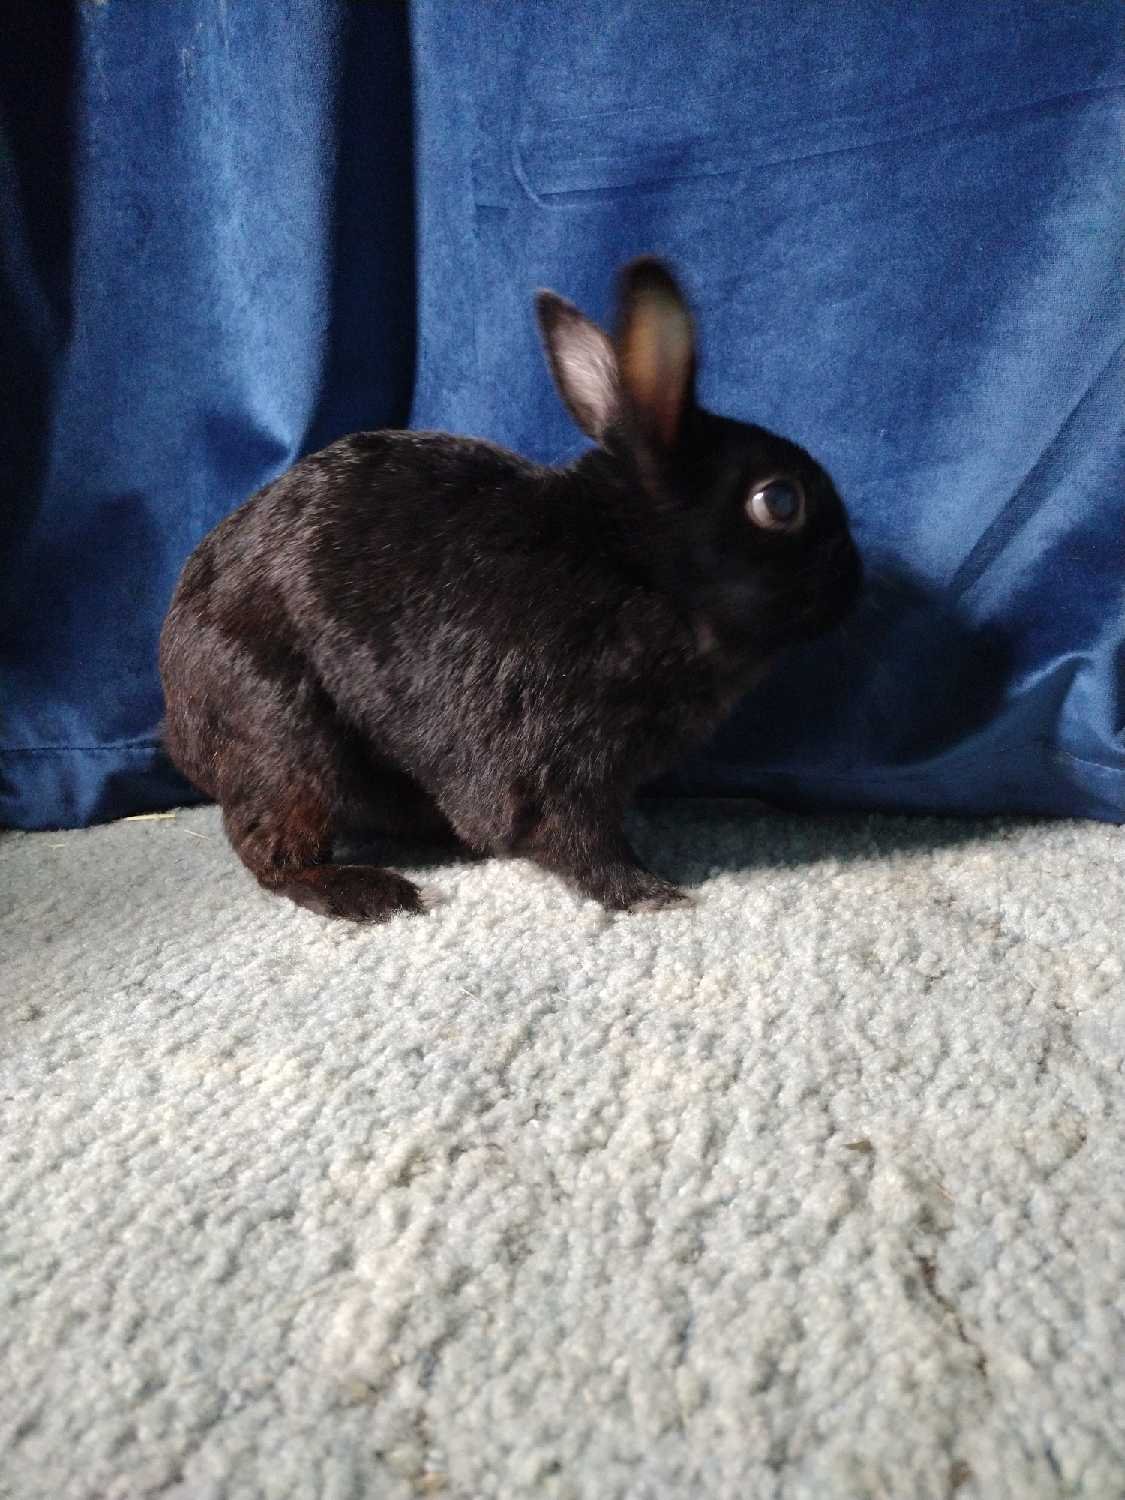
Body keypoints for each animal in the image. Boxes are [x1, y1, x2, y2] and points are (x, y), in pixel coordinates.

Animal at [159, 258, 862, 922]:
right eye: (779, 501)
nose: (854, 583)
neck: (633, 571)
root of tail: (178, 719)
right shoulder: (555, 766)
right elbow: (578, 840)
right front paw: (652, 895)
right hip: (283, 733)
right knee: (272, 848)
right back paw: (374, 895)